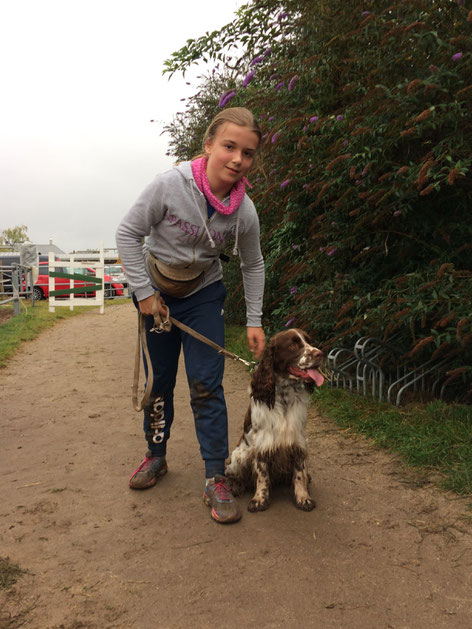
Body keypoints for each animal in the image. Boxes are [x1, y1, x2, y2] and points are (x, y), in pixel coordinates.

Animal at [226, 328, 324, 510]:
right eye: (293, 345)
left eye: (309, 341)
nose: (319, 354)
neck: (284, 396)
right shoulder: (262, 443)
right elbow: (262, 475)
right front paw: (259, 499)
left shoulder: (298, 442)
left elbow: (299, 473)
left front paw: (303, 497)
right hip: (239, 454)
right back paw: (235, 486)